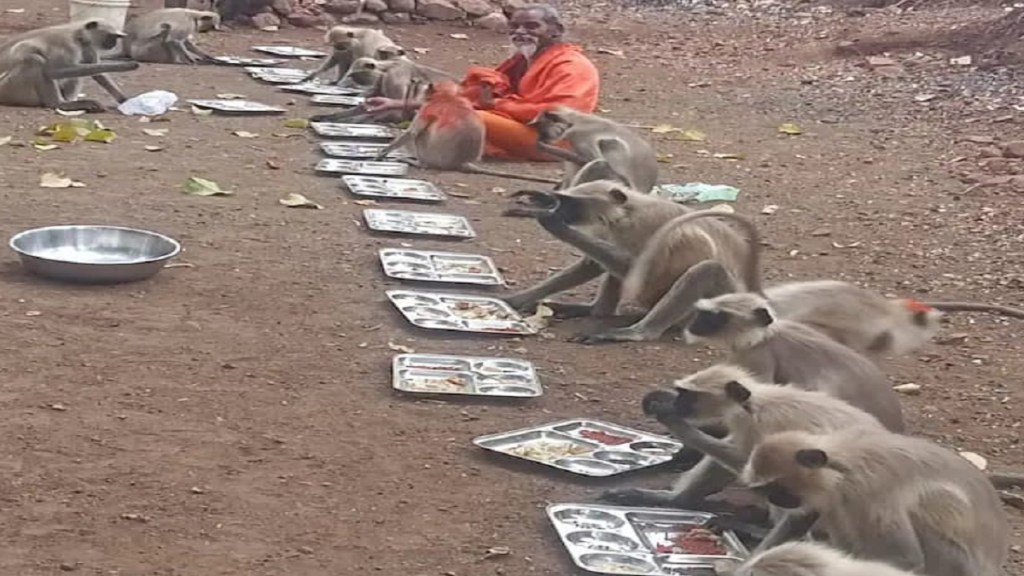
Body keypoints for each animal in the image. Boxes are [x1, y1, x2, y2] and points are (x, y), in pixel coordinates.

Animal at [0, 19, 139, 109]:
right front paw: (124, 66)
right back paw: (60, 104)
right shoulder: (66, 44)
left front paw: (124, 100)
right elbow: (54, 71)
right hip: (9, 88)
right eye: (112, 36)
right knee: (35, 60)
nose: (114, 44)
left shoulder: (87, 46)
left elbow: (98, 74)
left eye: (116, 37)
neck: (78, 35)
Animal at [368, 79, 561, 182]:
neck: (447, 96)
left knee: (420, 137)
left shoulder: (428, 109)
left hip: (431, 155)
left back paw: (418, 162)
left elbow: (412, 133)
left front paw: (382, 153)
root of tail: (463, 162)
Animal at [741, 426, 1011, 573]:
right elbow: (801, 519)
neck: (843, 461)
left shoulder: (870, 490)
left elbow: (906, 558)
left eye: (778, 488)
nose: (774, 499)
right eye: (767, 489)